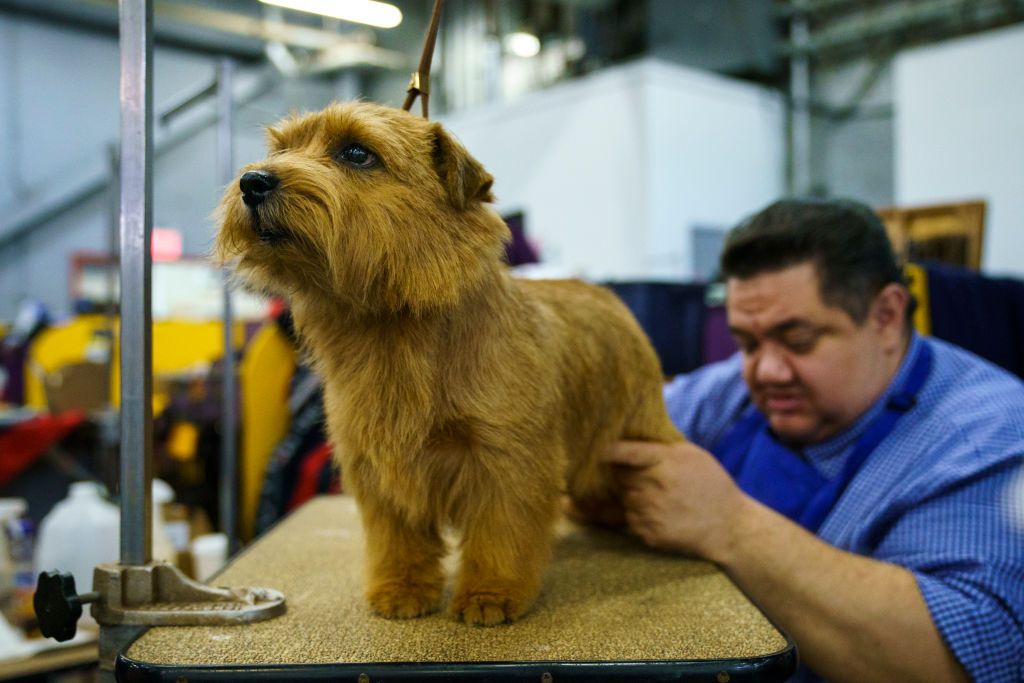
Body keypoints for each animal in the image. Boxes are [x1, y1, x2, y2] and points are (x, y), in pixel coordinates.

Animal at [212, 101, 684, 626]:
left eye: (356, 153)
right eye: (282, 149)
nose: (252, 181)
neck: (389, 325)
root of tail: (608, 297)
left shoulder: (507, 460)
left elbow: (500, 534)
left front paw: (490, 594)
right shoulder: (380, 464)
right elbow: (398, 539)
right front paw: (401, 588)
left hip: (638, 431)